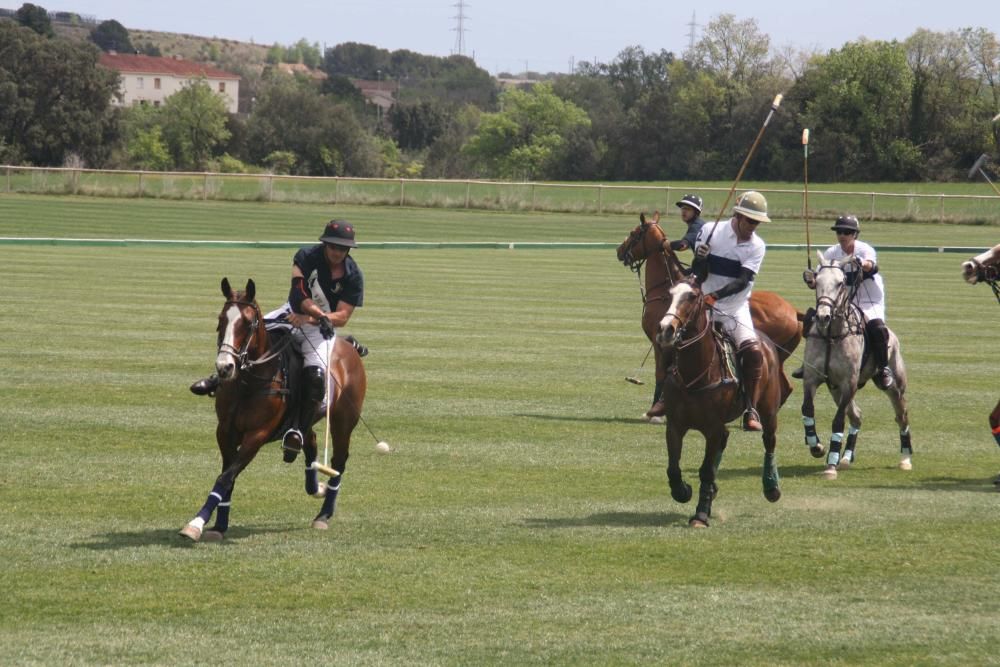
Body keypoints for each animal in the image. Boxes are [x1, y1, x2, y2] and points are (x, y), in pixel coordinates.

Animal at [180, 276, 368, 544]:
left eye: (248, 323)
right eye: (221, 319)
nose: (225, 367)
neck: (248, 382)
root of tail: (349, 346)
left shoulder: (257, 434)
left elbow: (226, 476)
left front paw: (195, 524)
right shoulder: (224, 431)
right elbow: (228, 477)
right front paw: (219, 525)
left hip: (344, 421)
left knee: (338, 462)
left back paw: (324, 514)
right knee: (309, 439)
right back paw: (315, 485)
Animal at [616, 214, 804, 420]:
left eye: (633, 233)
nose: (619, 251)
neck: (664, 291)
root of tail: (795, 310)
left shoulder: (661, 344)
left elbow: (661, 374)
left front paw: (656, 412)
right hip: (780, 357)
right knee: (786, 386)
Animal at [652, 276, 792, 528]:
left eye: (692, 296)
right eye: (669, 294)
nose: (666, 329)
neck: (694, 375)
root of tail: (765, 339)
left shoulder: (712, 429)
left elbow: (706, 471)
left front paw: (700, 514)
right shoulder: (675, 426)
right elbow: (673, 468)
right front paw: (683, 491)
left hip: (768, 410)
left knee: (769, 440)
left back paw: (771, 486)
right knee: (727, 440)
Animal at [796, 253, 916, 478]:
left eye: (840, 283)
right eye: (817, 280)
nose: (823, 316)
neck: (832, 335)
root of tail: (893, 336)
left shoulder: (848, 382)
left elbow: (837, 421)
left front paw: (830, 466)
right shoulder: (812, 379)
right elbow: (807, 409)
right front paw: (817, 447)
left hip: (895, 386)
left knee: (901, 415)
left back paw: (905, 459)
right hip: (835, 389)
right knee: (857, 417)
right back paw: (845, 458)